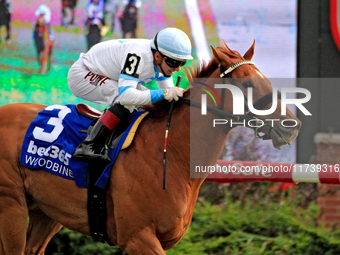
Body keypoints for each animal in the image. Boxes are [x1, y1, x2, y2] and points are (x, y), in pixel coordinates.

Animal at [0, 40, 300, 254]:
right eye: (248, 83)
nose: (292, 125)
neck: (171, 154)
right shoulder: (138, 237)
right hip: (11, 205)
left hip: (47, 211)